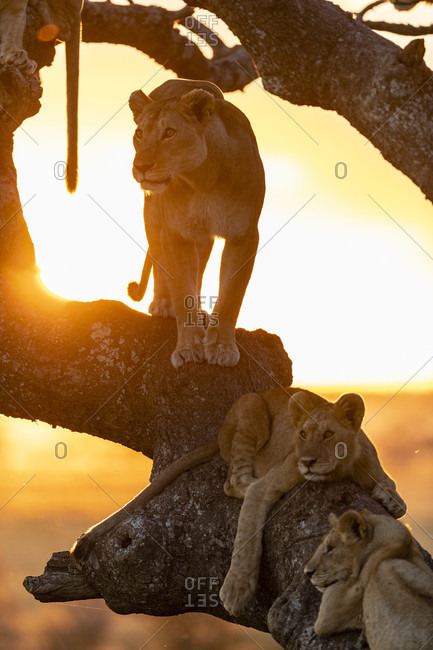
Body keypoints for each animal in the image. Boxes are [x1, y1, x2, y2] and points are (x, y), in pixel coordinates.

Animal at [73, 386, 406, 617]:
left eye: (327, 434)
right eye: (302, 434)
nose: (307, 461)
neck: (342, 467)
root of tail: (219, 432)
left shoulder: (370, 462)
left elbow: (389, 485)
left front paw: (393, 501)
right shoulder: (273, 481)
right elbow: (246, 537)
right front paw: (235, 591)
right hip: (252, 409)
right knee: (234, 481)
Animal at [127, 78, 265, 369]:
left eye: (169, 132)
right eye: (140, 133)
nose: (141, 166)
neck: (203, 178)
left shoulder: (245, 235)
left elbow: (231, 296)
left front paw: (222, 347)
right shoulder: (177, 233)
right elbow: (182, 291)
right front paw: (188, 348)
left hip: (203, 238)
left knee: (199, 269)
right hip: (153, 214)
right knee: (160, 257)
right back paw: (163, 304)